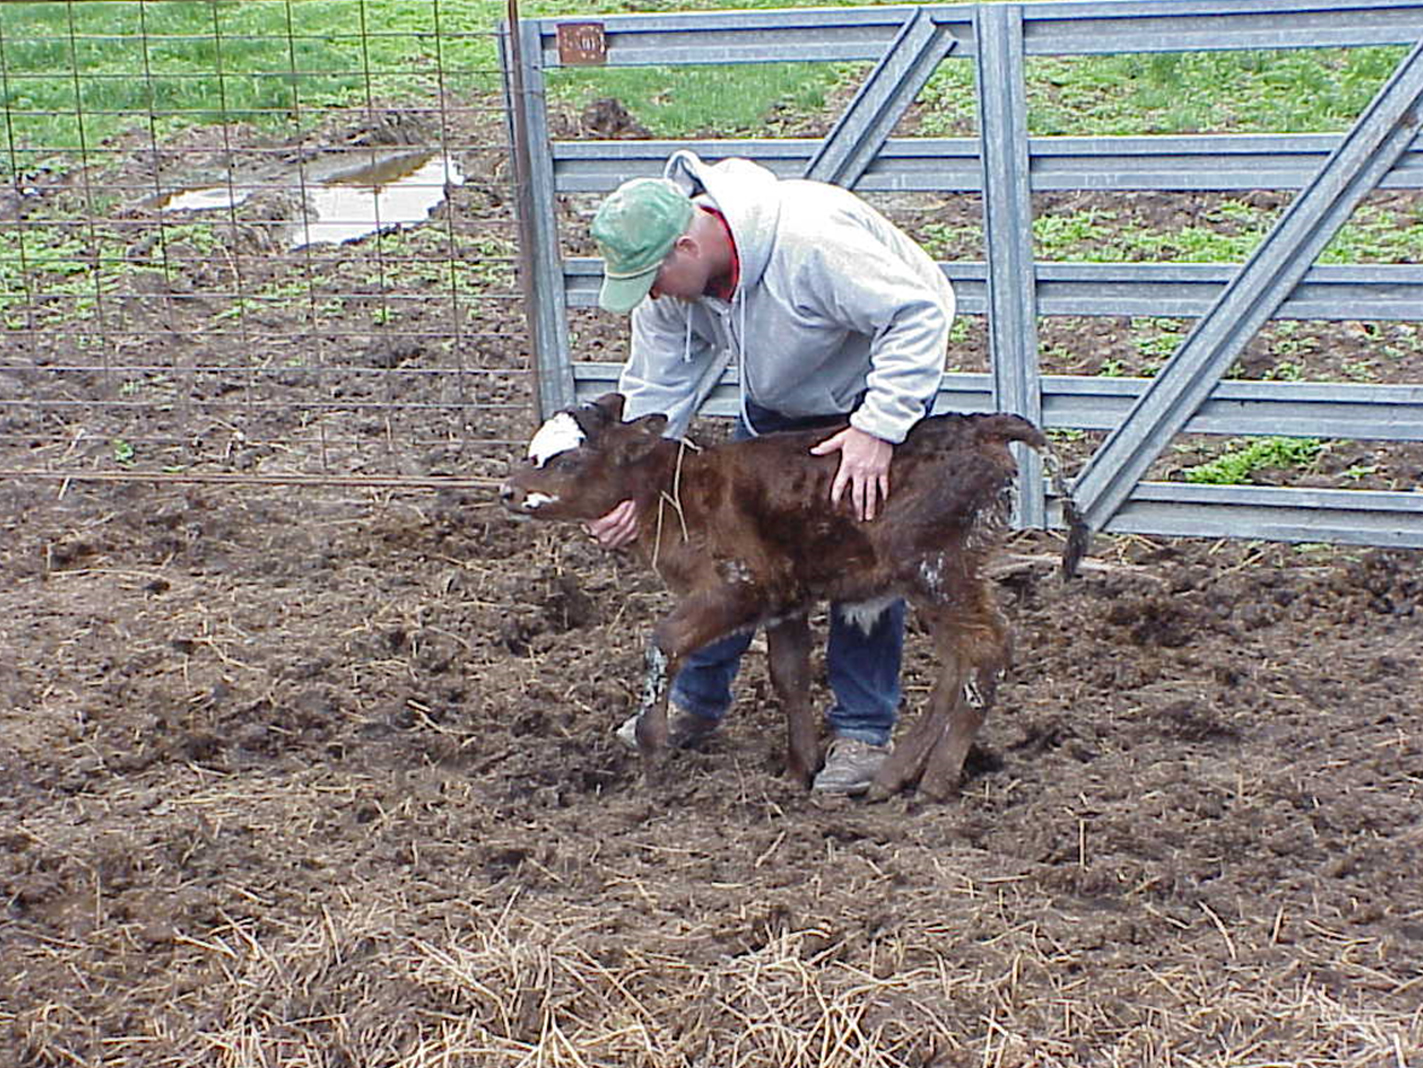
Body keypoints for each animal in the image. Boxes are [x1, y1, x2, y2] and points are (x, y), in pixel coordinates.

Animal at [495, 392, 1081, 802]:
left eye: (568, 461)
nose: (507, 491)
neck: (677, 491)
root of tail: (982, 424)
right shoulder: (784, 601)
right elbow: (790, 676)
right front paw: (800, 769)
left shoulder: (737, 587)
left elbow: (665, 642)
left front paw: (653, 750)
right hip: (943, 578)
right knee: (958, 662)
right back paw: (894, 776)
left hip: (939, 571)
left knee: (987, 650)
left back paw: (934, 781)